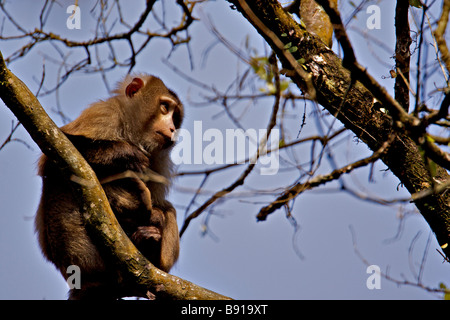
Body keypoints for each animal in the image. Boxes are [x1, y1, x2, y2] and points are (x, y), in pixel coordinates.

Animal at [34, 74, 184, 298]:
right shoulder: (104, 114)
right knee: (59, 181)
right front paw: (123, 153)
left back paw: (150, 243)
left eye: (176, 118)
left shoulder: (158, 159)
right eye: (165, 107)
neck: (131, 134)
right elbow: (52, 154)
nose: (173, 129)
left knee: (167, 209)